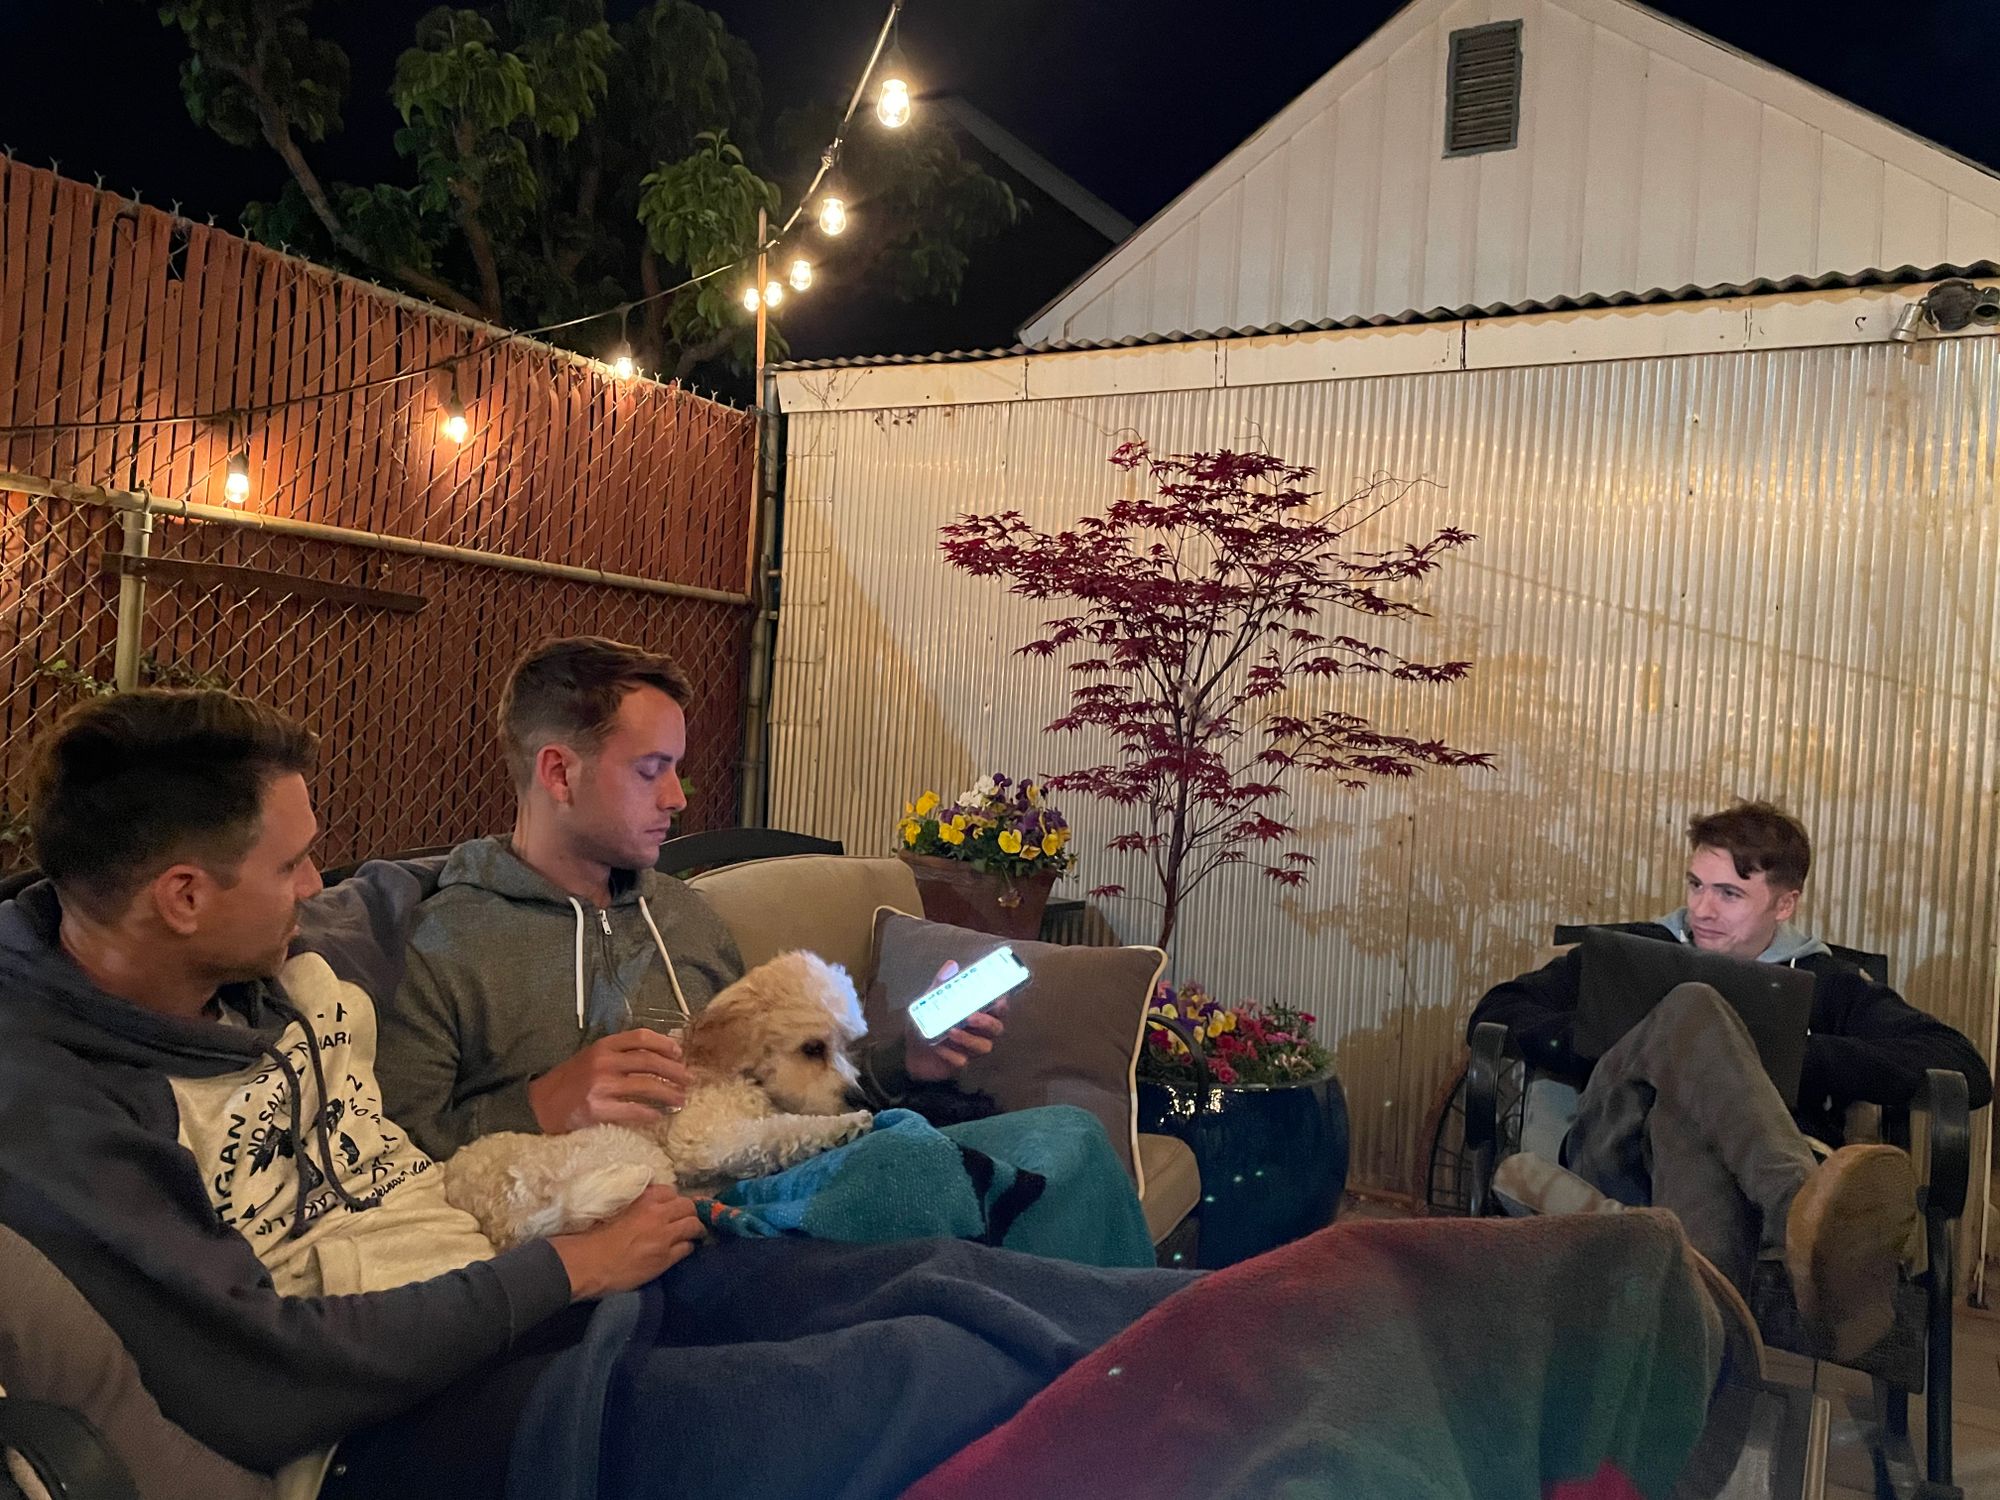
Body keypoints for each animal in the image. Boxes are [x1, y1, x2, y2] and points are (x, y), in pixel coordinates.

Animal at [444, 951, 876, 1248]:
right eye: (812, 1048)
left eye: (849, 1046)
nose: (861, 1095)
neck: (724, 1068)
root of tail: (508, 1220)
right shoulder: (703, 1141)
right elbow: (779, 1132)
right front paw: (843, 1126)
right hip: (642, 1160)